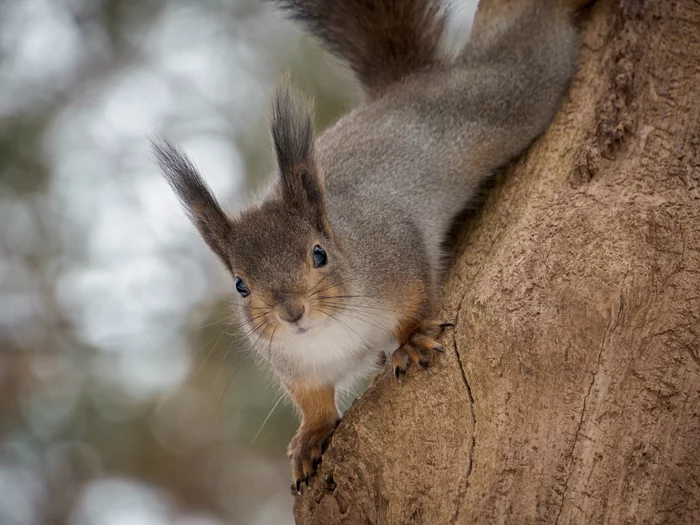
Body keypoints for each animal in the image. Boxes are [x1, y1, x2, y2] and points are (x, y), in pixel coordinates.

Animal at [152, 0, 592, 494]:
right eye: (241, 286)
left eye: (319, 254)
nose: (291, 312)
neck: (330, 330)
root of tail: (403, 88)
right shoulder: (296, 368)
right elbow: (314, 401)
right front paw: (311, 437)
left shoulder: (396, 254)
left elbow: (416, 299)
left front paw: (412, 339)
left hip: (507, 94)